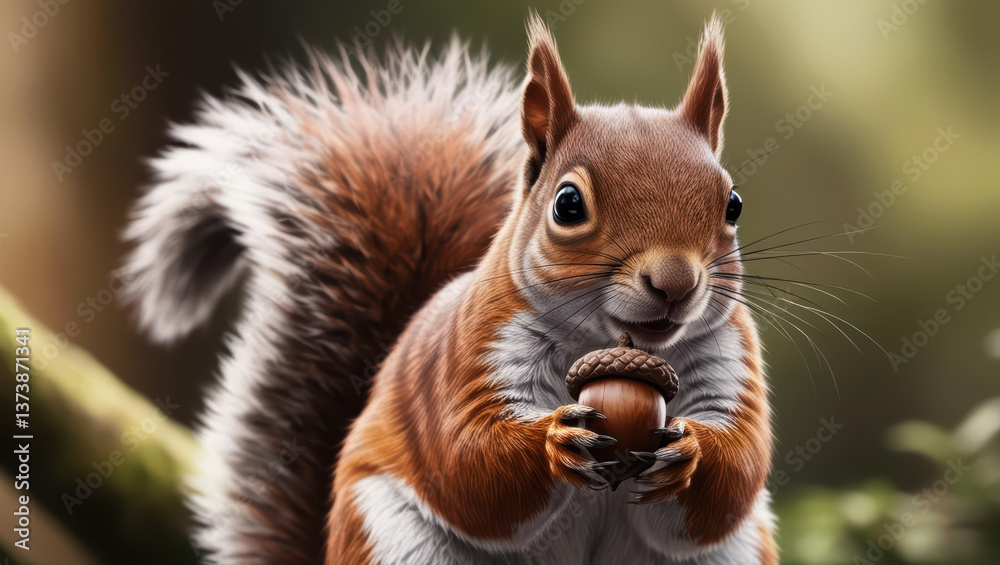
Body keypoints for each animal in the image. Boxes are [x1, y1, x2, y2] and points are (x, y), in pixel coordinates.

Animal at [122, 12, 775, 565]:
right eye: (567, 204)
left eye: (734, 204)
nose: (676, 283)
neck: (613, 344)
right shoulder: (469, 353)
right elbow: (468, 466)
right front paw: (553, 441)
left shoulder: (732, 356)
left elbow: (735, 478)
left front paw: (691, 454)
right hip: (391, 538)